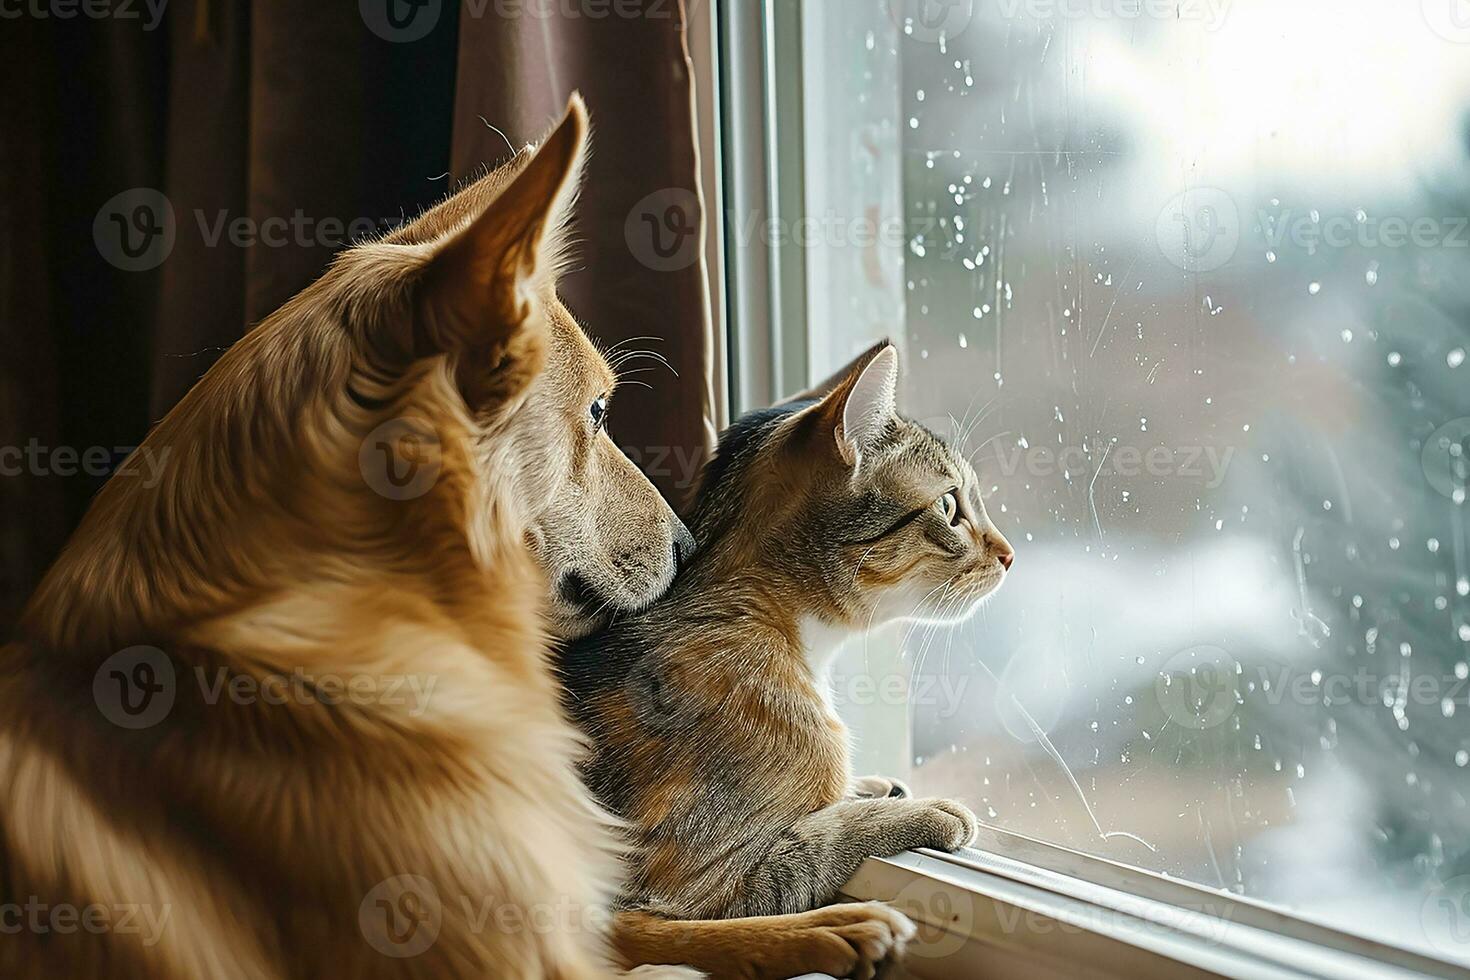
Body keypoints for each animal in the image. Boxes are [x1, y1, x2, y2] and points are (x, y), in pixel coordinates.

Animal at [555, 343, 1017, 928]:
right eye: (951, 506)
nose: (1010, 554)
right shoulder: (696, 890)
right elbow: (823, 837)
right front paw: (919, 812)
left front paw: (869, 787)